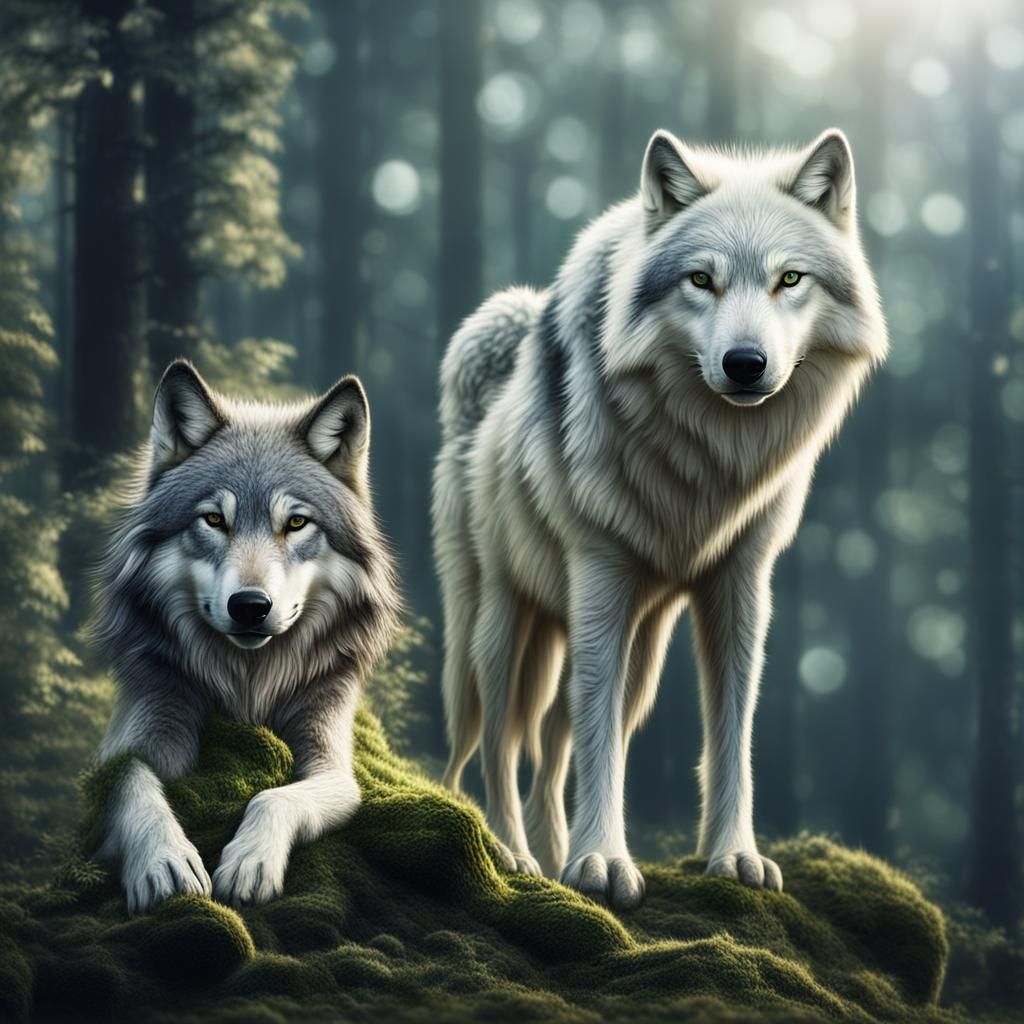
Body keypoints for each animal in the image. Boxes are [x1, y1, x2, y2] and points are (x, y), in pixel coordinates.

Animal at [91, 361, 399, 914]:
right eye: (214, 519)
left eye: (296, 522)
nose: (251, 606)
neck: (248, 685)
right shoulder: (137, 731)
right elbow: (132, 781)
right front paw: (164, 861)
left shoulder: (334, 763)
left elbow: (273, 795)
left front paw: (249, 862)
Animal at [434, 128, 887, 910]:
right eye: (700, 280)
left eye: (790, 279)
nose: (745, 363)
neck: (710, 462)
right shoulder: (600, 576)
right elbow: (595, 744)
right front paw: (603, 863)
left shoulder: (741, 584)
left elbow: (729, 731)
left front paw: (732, 857)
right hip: (501, 626)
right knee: (497, 740)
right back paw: (513, 855)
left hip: (639, 658)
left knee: (554, 746)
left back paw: (553, 854)